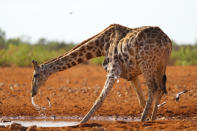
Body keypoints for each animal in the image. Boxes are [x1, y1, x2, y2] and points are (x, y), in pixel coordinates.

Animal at [31, 23, 172, 124]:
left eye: (35, 75)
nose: (32, 92)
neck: (101, 46)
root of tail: (167, 42)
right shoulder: (131, 75)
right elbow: (140, 100)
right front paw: (148, 118)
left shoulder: (113, 70)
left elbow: (100, 98)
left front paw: (81, 122)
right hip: (160, 65)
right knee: (159, 89)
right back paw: (152, 119)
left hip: (146, 63)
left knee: (153, 88)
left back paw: (143, 120)